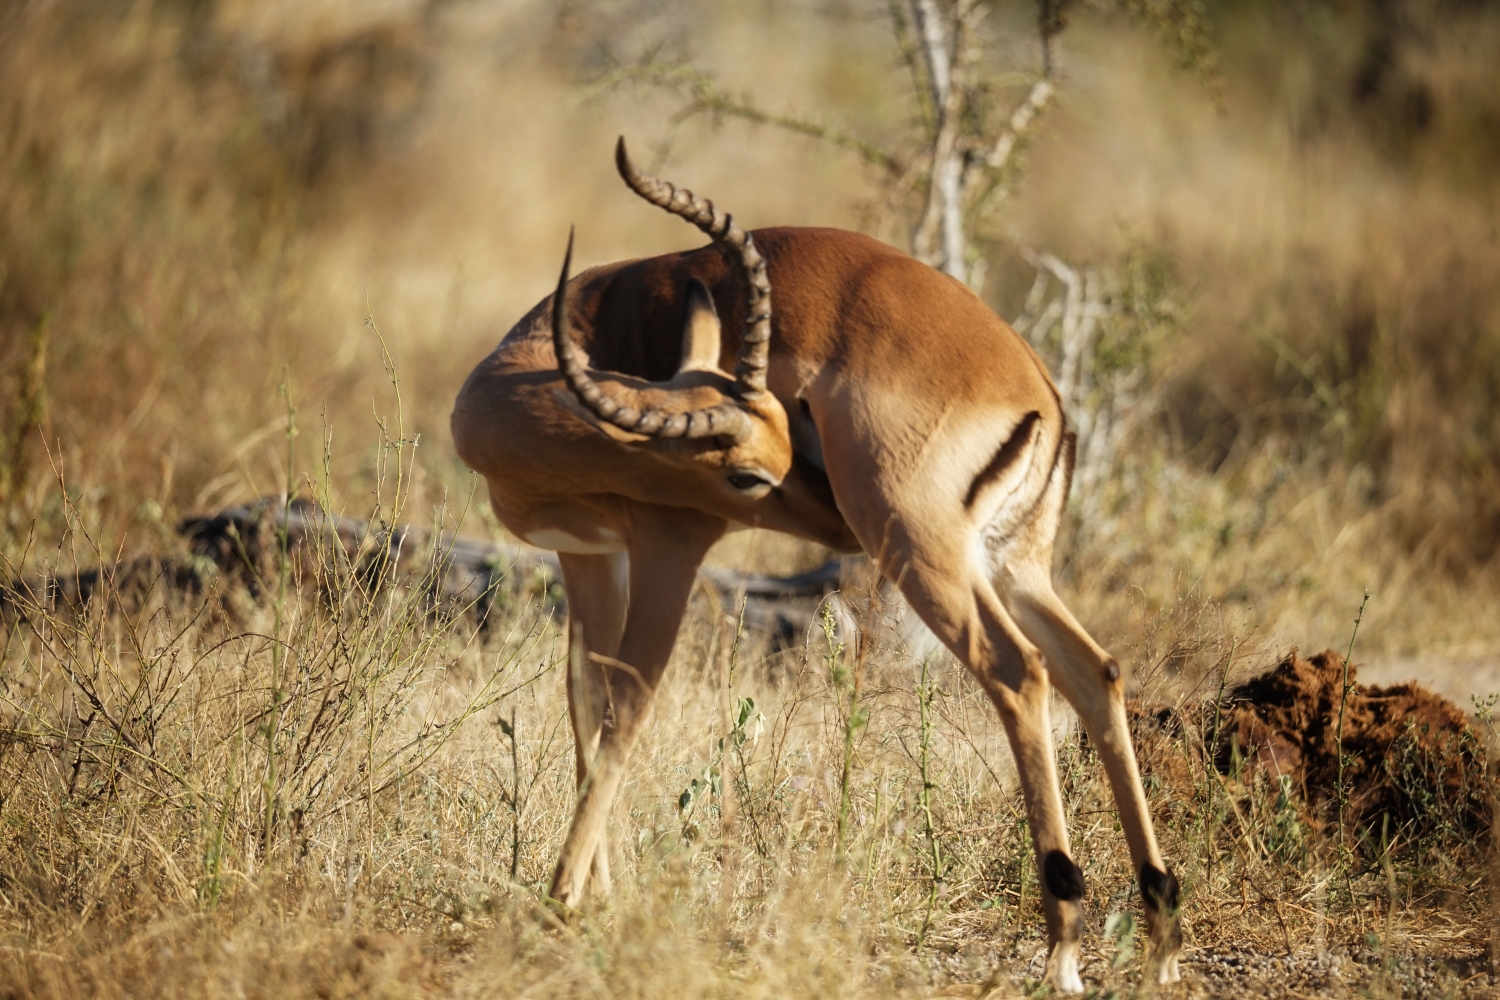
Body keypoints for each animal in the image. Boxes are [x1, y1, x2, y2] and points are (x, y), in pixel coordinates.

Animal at [450, 142, 1176, 995]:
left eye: (785, 428)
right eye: (752, 461)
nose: (822, 508)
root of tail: (1043, 395)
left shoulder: (670, 546)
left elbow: (626, 711)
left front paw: (563, 899)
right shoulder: (589, 554)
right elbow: (584, 705)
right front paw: (601, 894)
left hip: (922, 553)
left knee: (1019, 671)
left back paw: (1062, 949)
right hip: (1012, 565)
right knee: (1095, 672)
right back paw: (1161, 937)